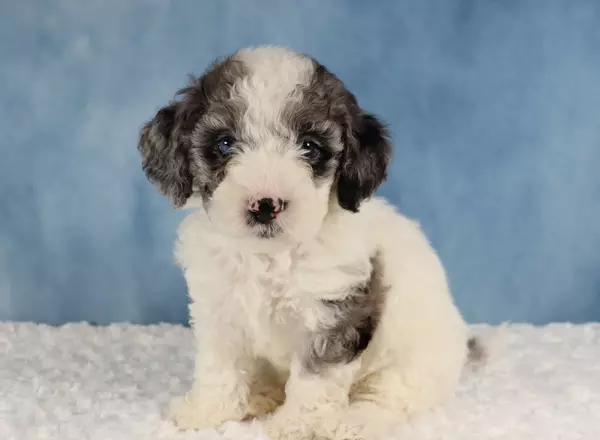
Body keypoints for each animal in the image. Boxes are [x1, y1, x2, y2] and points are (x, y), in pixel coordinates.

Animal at [137, 46, 474, 438]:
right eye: (224, 144)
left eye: (310, 147)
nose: (265, 205)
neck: (269, 255)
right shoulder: (219, 308)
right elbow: (219, 365)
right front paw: (208, 412)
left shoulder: (336, 314)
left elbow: (316, 376)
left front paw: (298, 425)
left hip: (414, 361)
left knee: (389, 397)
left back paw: (355, 421)